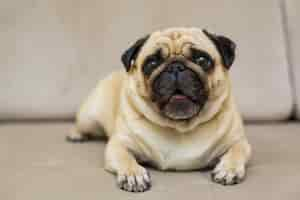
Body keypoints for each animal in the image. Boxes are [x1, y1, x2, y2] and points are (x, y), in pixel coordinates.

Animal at [67, 27, 251, 193]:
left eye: (202, 60)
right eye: (152, 63)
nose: (176, 67)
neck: (180, 127)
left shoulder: (239, 141)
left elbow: (237, 150)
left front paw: (229, 169)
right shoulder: (118, 144)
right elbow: (125, 157)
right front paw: (133, 174)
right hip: (89, 117)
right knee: (82, 124)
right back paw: (75, 135)